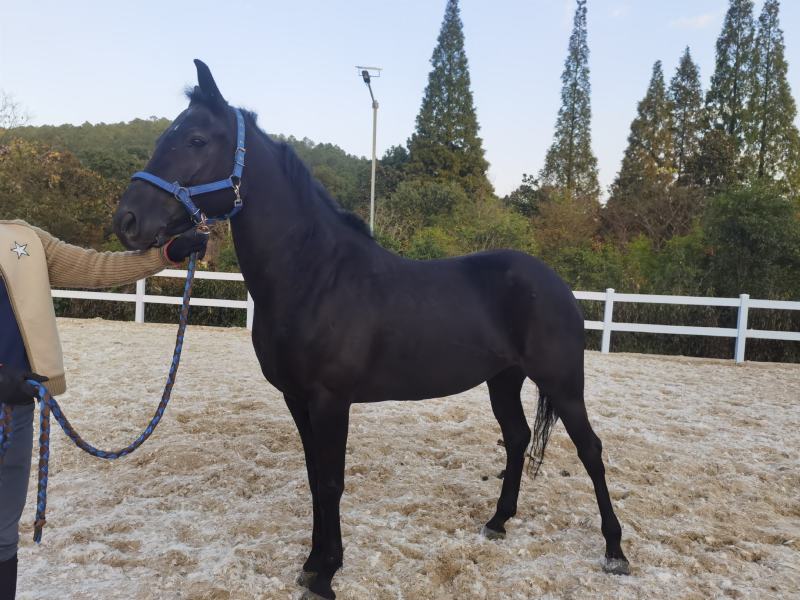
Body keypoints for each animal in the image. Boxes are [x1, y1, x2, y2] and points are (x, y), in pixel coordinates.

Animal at [113, 60, 629, 599]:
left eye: (194, 139)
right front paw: (313, 564)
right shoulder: (297, 399)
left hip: (563, 384)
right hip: (503, 379)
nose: (127, 220)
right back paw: (498, 521)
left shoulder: (330, 400)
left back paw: (615, 551)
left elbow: (332, 482)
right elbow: (315, 478)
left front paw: (326, 574)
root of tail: (557, 284)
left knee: (590, 450)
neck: (316, 275)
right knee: (517, 437)